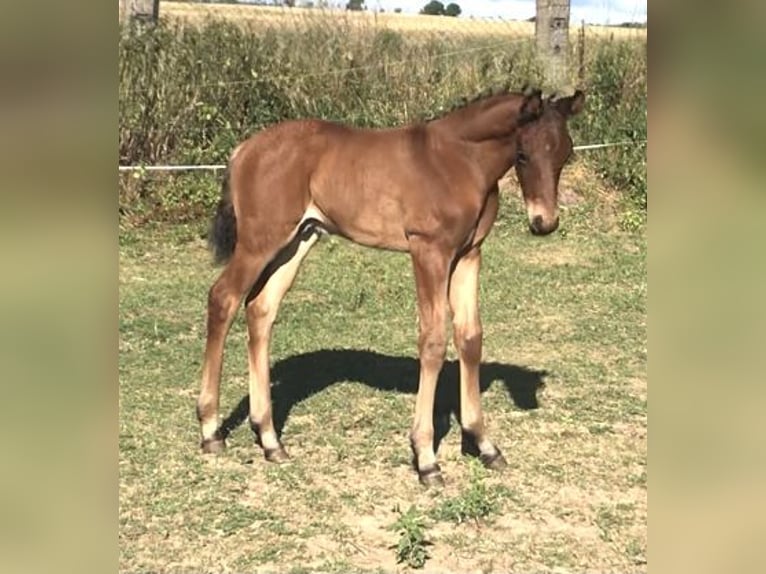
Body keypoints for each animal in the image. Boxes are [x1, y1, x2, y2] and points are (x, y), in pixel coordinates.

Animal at [196, 86, 585, 486]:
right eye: (523, 154)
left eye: (565, 152)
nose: (544, 223)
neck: (458, 161)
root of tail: (243, 150)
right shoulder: (429, 251)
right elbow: (433, 340)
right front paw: (426, 458)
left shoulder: (469, 255)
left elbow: (470, 337)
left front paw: (485, 445)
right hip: (260, 242)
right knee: (223, 299)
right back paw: (211, 431)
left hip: (299, 239)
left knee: (260, 308)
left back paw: (270, 439)